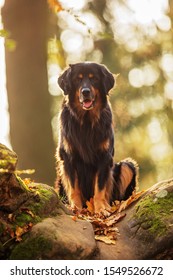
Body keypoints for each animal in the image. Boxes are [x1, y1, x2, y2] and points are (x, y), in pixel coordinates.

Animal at [55, 62, 138, 215]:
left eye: (94, 78)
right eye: (78, 79)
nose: (85, 92)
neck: (86, 121)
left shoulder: (104, 157)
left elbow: (99, 188)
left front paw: (101, 209)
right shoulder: (68, 157)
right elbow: (74, 187)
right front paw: (76, 207)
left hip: (127, 166)